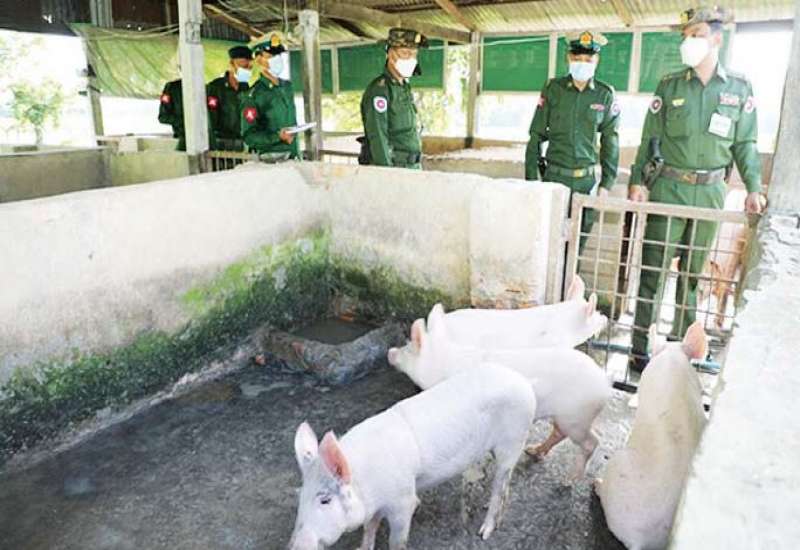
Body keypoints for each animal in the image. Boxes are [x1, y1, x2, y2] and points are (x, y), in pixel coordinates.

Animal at [288, 363, 537, 550]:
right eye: (300, 497)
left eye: (325, 500)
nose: (295, 546)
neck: (365, 485)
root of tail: (524, 382)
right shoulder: (374, 507)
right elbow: (370, 527)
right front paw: (363, 547)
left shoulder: (404, 502)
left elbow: (396, 539)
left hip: (514, 438)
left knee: (500, 483)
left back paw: (484, 533)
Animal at [388, 306, 611, 480]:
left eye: (408, 346)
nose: (390, 351)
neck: (441, 363)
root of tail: (604, 383)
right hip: (567, 416)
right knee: (561, 433)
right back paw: (533, 451)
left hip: (576, 416)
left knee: (592, 441)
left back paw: (570, 479)